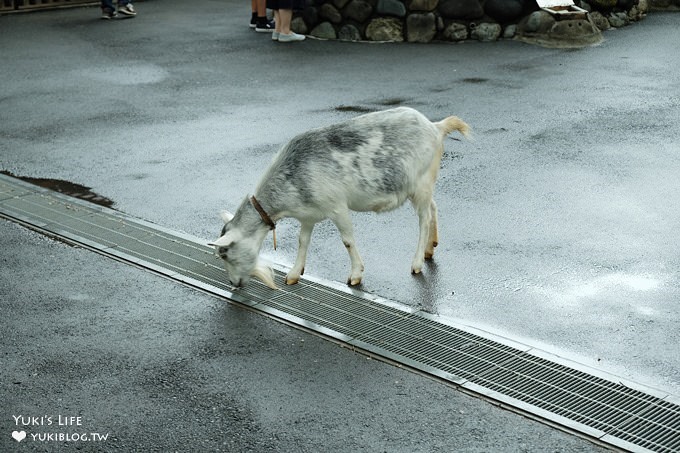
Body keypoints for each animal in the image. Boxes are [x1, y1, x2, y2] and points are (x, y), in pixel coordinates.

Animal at [210, 107, 470, 288]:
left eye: (227, 255)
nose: (234, 284)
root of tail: (436, 127)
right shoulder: (308, 215)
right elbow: (302, 241)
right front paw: (294, 275)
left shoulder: (337, 207)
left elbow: (347, 240)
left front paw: (355, 276)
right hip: (422, 186)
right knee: (433, 208)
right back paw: (429, 249)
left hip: (420, 182)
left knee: (424, 219)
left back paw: (417, 263)